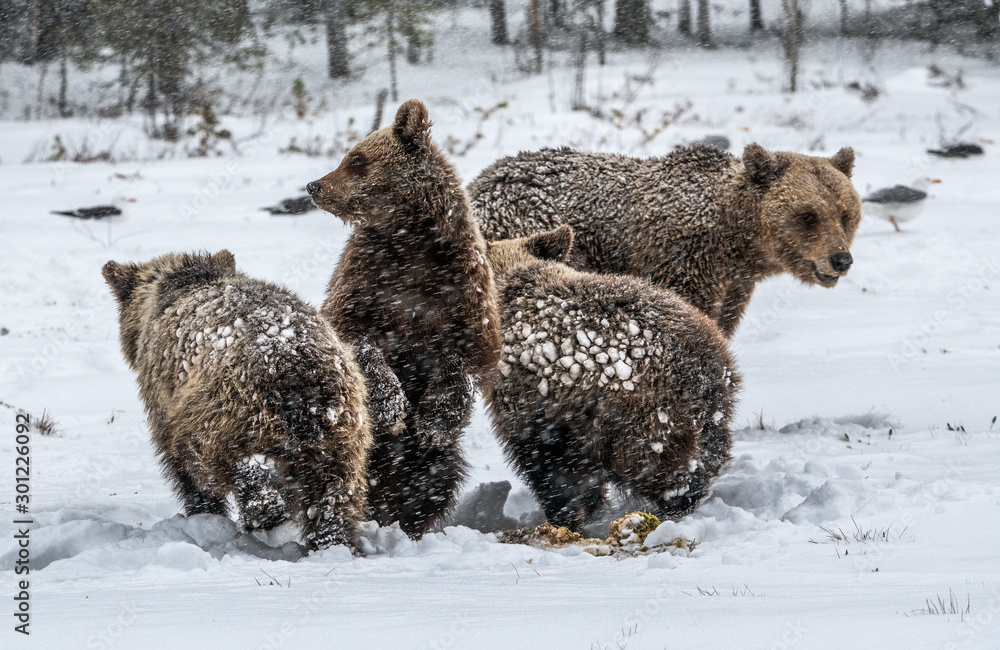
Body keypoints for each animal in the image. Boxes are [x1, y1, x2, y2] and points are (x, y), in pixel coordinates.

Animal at [102, 250, 371, 551]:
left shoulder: (166, 400)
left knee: (236, 462)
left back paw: (262, 511)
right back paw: (332, 542)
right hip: (340, 424)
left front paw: (203, 513)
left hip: (232, 407)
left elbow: (185, 470)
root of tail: (296, 368)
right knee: (334, 492)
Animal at [307, 99, 502, 537]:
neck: (411, 240)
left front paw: (432, 423)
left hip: (428, 465)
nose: (315, 186)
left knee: (433, 478)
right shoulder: (366, 282)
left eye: (356, 160)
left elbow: (465, 360)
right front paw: (391, 405)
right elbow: (355, 335)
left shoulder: (462, 288)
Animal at [469, 143, 861, 337]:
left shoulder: (734, 286)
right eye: (808, 215)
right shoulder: (685, 263)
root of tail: (478, 183)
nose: (841, 259)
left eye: (845, 214)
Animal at [485, 225, 740, 531]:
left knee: (667, 471)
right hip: (714, 406)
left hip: (640, 418)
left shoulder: (533, 409)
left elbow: (552, 472)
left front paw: (566, 517)